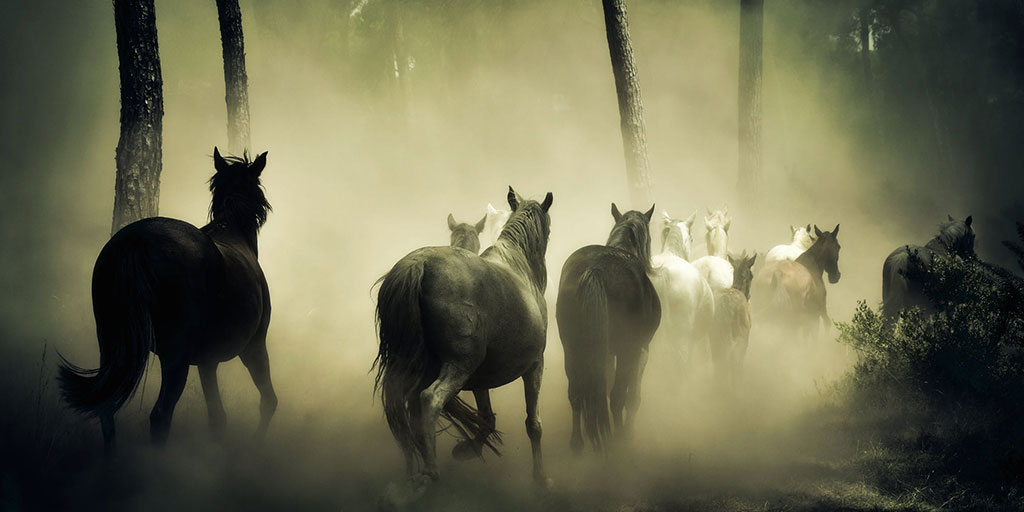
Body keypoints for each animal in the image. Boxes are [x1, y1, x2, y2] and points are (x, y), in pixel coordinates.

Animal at [58, 148, 277, 451]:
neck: (231, 230)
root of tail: (135, 239)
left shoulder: (208, 362)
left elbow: (217, 418)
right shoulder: (253, 347)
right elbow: (268, 402)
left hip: (112, 346)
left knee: (107, 409)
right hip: (176, 357)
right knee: (160, 415)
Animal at [374, 187, 553, 487]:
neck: (519, 267)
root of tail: (418, 265)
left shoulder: (481, 376)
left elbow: (487, 418)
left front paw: (467, 449)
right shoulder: (534, 366)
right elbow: (533, 424)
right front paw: (541, 478)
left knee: (400, 409)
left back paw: (412, 472)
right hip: (458, 366)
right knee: (428, 399)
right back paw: (430, 471)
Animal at [556, 203, 661, 453]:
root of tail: (595, 269)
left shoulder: (605, 353)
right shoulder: (640, 349)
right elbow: (632, 397)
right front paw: (628, 433)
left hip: (572, 347)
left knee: (576, 392)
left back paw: (577, 442)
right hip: (625, 350)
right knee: (616, 398)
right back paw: (618, 442)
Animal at [710, 251, 756, 388]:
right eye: (752, 276)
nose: (749, 296)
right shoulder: (745, 338)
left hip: (715, 337)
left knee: (719, 361)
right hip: (738, 337)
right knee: (733, 361)